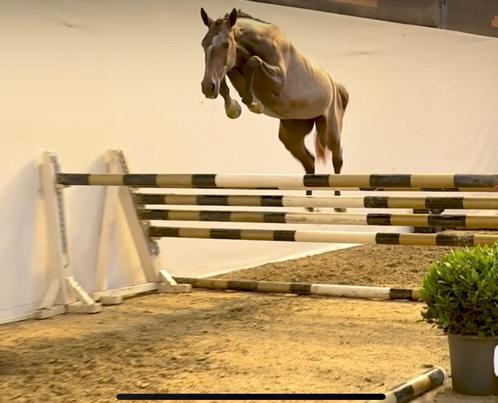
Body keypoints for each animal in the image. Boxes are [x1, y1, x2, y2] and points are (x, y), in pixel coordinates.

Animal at [200, 7, 348, 207]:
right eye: (203, 44)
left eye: (225, 45)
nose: (206, 88)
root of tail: (336, 85)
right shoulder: (230, 71)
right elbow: (225, 82)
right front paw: (233, 107)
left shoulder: (279, 82)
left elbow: (254, 62)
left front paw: (254, 104)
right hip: (291, 135)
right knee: (309, 162)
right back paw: (309, 205)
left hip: (330, 130)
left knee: (337, 157)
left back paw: (339, 203)